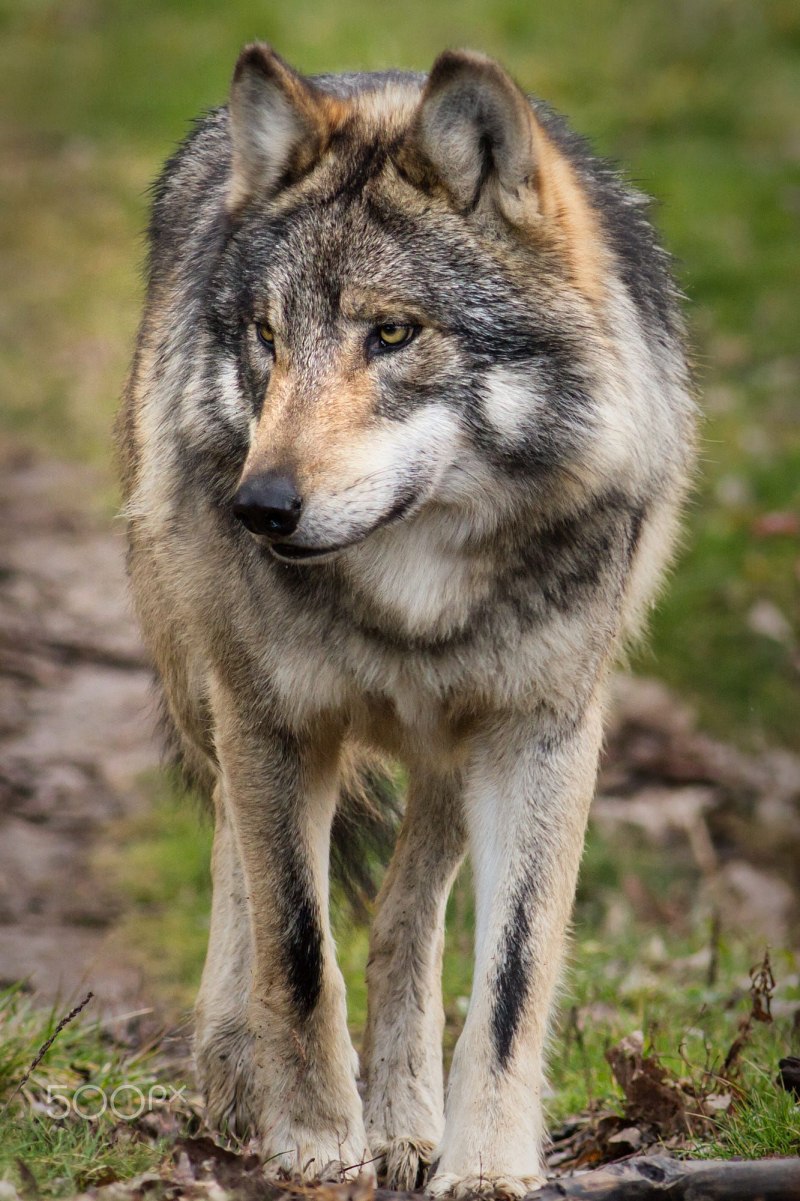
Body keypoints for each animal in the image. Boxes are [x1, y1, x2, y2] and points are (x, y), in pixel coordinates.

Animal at [117, 42, 695, 1196]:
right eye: (267, 338)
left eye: (392, 333)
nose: (259, 507)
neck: (412, 591)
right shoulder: (274, 719)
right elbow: (296, 944)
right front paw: (314, 1140)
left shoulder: (541, 733)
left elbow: (511, 974)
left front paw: (484, 1162)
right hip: (208, 690)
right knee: (241, 864)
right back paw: (239, 1068)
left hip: (447, 750)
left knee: (407, 919)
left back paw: (407, 1121)